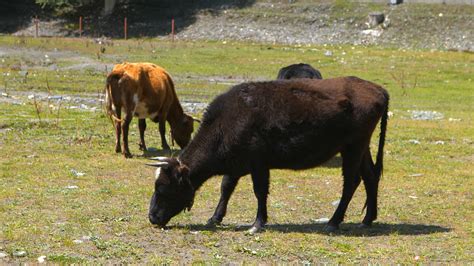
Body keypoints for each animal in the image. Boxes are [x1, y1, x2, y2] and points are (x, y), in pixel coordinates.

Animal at [147, 76, 388, 233]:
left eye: (163, 187)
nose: (152, 217)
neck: (226, 123)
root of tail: (378, 90)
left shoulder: (258, 164)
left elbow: (260, 191)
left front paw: (257, 223)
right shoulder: (236, 164)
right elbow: (226, 187)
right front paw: (215, 217)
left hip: (353, 147)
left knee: (351, 182)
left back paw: (333, 221)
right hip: (361, 147)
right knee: (370, 176)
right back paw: (368, 219)